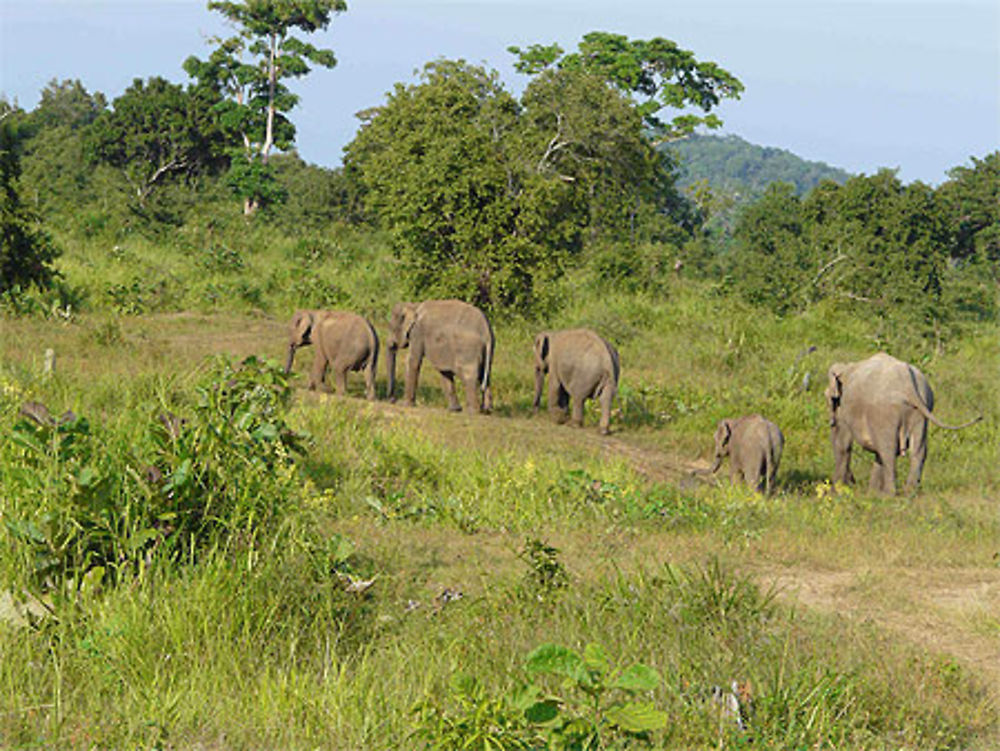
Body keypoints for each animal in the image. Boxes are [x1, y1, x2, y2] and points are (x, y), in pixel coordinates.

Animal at [824, 352, 980, 494]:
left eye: (828, 398)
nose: (853, 481)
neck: (846, 367)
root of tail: (907, 381)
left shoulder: (845, 408)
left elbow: (843, 444)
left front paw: (837, 492)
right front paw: (871, 493)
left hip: (885, 411)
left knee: (888, 450)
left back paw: (889, 495)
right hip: (921, 409)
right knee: (918, 450)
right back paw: (909, 492)